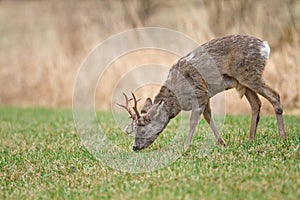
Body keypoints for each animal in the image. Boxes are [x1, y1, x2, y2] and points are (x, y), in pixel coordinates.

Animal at [118, 34, 288, 151]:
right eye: (133, 129)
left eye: (143, 128)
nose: (135, 147)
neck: (178, 98)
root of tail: (265, 46)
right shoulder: (205, 94)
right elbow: (208, 116)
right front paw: (222, 143)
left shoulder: (199, 92)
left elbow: (193, 121)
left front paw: (186, 147)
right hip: (242, 81)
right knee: (256, 104)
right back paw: (251, 139)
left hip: (250, 74)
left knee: (275, 95)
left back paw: (282, 136)